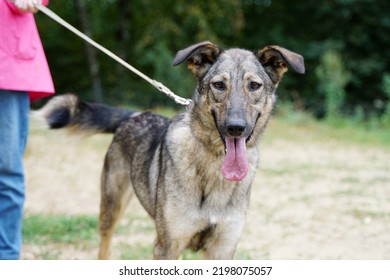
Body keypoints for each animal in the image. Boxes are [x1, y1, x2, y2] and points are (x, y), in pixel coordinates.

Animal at [39, 40, 304, 260]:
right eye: (219, 85)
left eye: (254, 85)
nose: (235, 128)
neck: (214, 166)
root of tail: (134, 115)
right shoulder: (167, 246)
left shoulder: (222, 248)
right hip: (111, 208)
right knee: (104, 248)